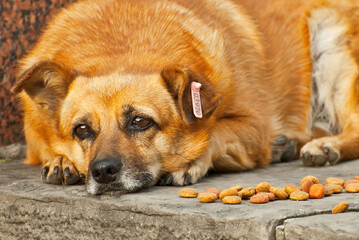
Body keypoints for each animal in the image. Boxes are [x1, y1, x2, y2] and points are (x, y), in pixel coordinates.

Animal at [12, 0, 359, 195]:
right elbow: (47, 147)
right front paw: (61, 160)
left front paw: (191, 159)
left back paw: (325, 146)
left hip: (334, 55)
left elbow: (215, 130)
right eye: (81, 130)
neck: (119, 45)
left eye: (141, 121)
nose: (103, 172)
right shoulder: (35, 134)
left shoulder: (256, 125)